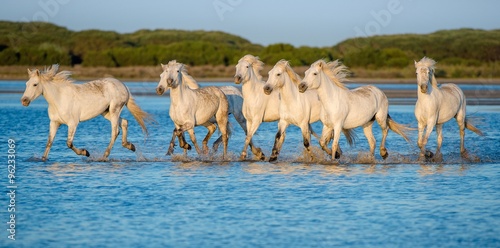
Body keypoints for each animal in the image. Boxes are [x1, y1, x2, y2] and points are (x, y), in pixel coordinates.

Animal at [21, 64, 150, 161]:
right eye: (26, 84)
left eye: (35, 84)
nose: (24, 101)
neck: (59, 99)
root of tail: (123, 86)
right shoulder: (54, 123)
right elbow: (49, 142)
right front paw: (43, 159)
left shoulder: (73, 124)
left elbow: (69, 143)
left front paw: (86, 152)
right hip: (106, 112)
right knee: (124, 122)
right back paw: (130, 146)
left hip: (114, 110)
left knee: (115, 132)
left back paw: (104, 156)